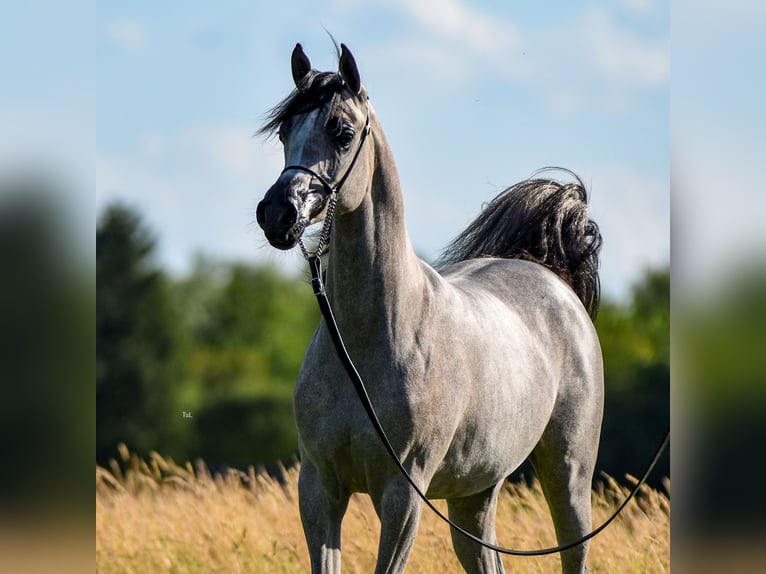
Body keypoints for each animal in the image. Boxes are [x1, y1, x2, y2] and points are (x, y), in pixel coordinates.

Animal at [258, 41, 608, 574]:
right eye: (284, 131)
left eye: (342, 131)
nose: (278, 213)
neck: (368, 343)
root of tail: (553, 276)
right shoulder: (318, 488)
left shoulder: (402, 496)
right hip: (474, 495)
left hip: (568, 477)